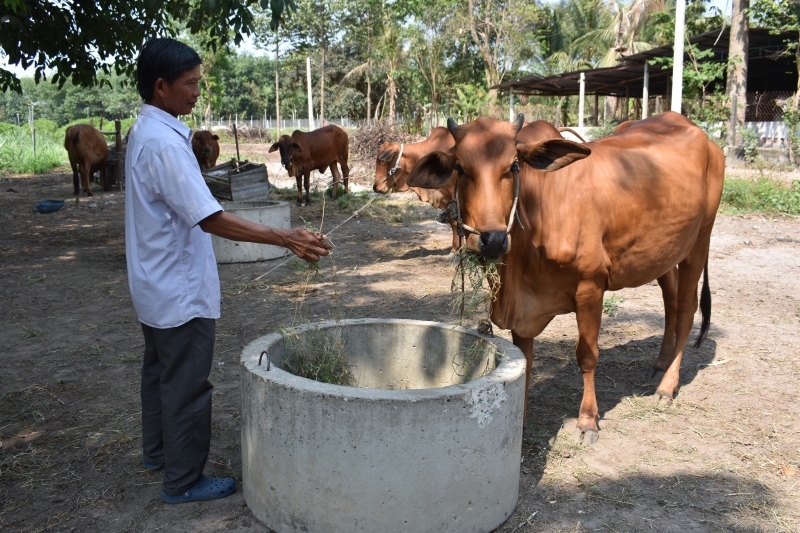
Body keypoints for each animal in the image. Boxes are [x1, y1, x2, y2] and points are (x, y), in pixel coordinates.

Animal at [410, 113, 728, 444]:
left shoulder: (591, 287)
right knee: (671, 300)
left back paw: (667, 386)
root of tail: (700, 134)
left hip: (699, 241)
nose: (493, 240)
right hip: (664, 252)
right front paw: (521, 421)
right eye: (460, 167)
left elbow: (587, 356)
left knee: (686, 310)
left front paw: (587, 420)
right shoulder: (524, 310)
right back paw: (660, 365)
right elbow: (527, 359)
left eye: (514, 166)